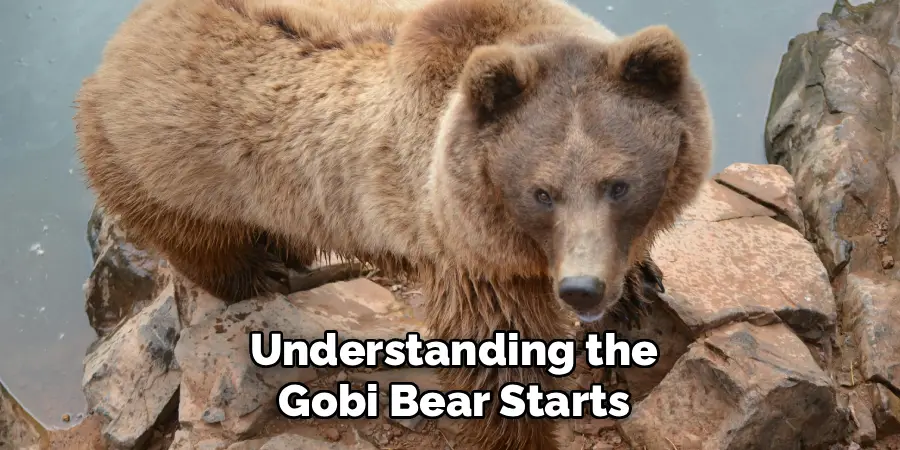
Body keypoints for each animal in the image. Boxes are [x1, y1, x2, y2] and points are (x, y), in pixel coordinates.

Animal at [73, 0, 712, 448]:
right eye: (541, 192)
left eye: (619, 183)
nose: (582, 288)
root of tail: (123, 37)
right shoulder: (466, 252)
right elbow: (494, 360)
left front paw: (637, 287)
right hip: (174, 168)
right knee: (207, 243)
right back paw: (269, 269)